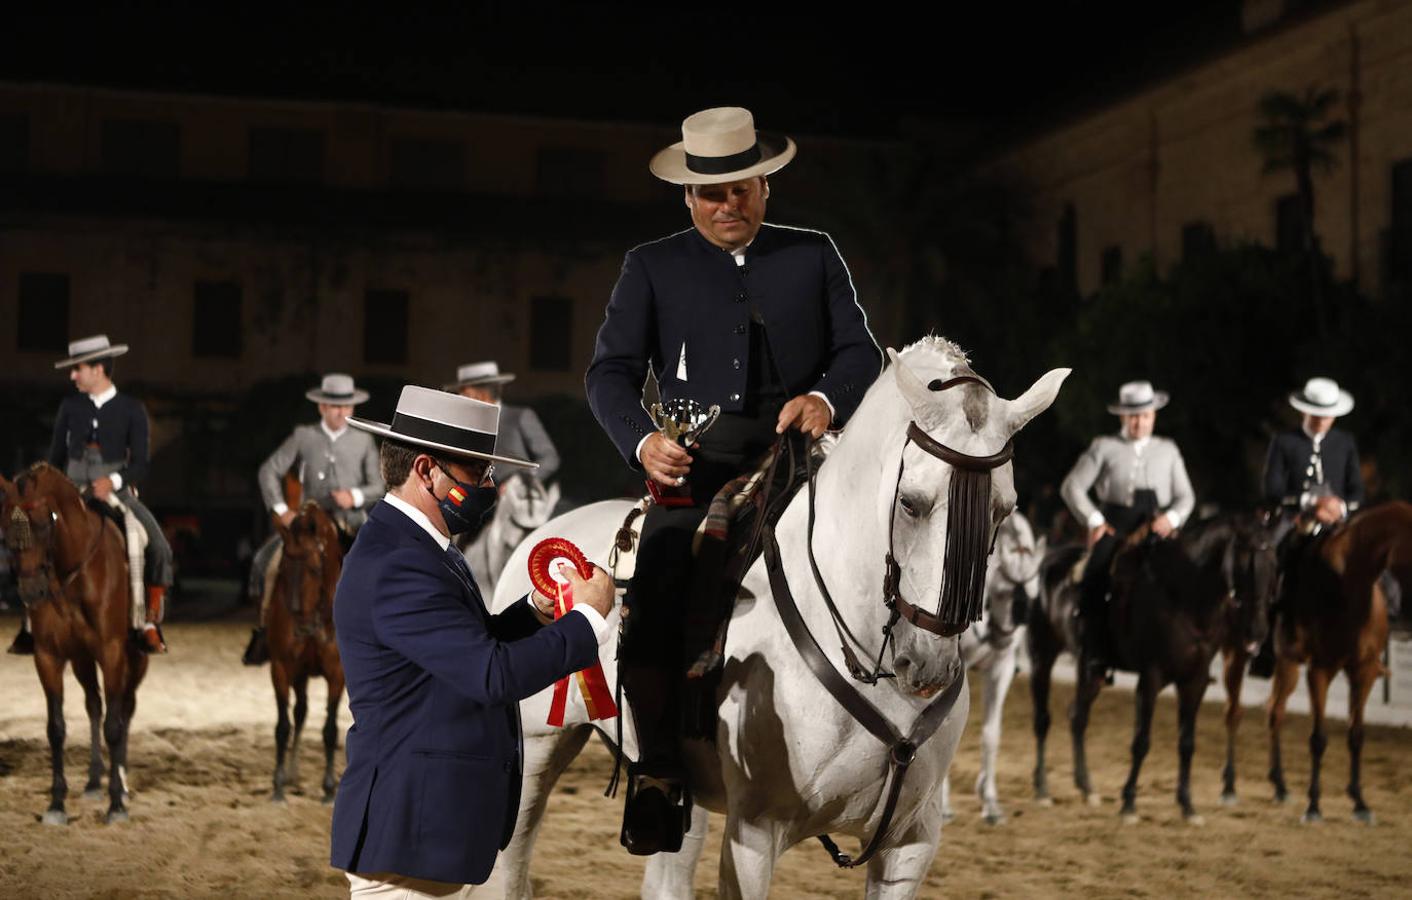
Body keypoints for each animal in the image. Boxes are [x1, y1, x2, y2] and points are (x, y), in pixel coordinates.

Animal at [1, 463, 149, 819]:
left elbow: (114, 725)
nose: (32, 592)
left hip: (136, 658)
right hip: (82, 659)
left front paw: (116, 804)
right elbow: (56, 728)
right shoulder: (48, 656)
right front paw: (56, 803)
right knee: (94, 705)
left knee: (125, 709)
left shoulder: (112, 651)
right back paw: (95, 782)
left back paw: (121, 784)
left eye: (45, 524)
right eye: (4, 529)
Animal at [268, 502, 348, 802]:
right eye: (284, 566)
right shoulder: (281, 667)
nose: (300, 627)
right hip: (299, 675)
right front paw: (278, 786)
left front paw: (329, 788)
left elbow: (330, 730)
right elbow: (283, 726)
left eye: (315, 568)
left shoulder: (337, 675)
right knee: (300, 711)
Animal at [937, 508, 1050, 825]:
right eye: (1000, 592)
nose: (1002, 639)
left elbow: (991, 735)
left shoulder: (1000, 669)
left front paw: (990, 802)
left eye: (1033, 595)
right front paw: (944, 806)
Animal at [1270, 497, 1412, 819]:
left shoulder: (1364, 671)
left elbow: (1356, 736)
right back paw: (1275, 786)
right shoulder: (1320, 670)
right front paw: (1313, 805)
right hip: (1285, 661)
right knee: (1275, 714)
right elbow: (1318, 739)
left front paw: (1359, 801)